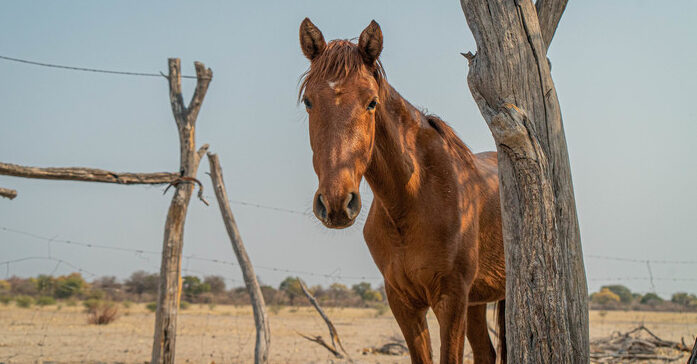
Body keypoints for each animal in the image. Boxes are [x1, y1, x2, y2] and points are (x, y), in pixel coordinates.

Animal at [298, 19, 506, 364]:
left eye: (371, 101)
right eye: (308, 101)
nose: (337, 203)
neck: (413, 199)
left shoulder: (451, 300)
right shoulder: (403, 303)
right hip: (477, 302)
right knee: (485, 353)